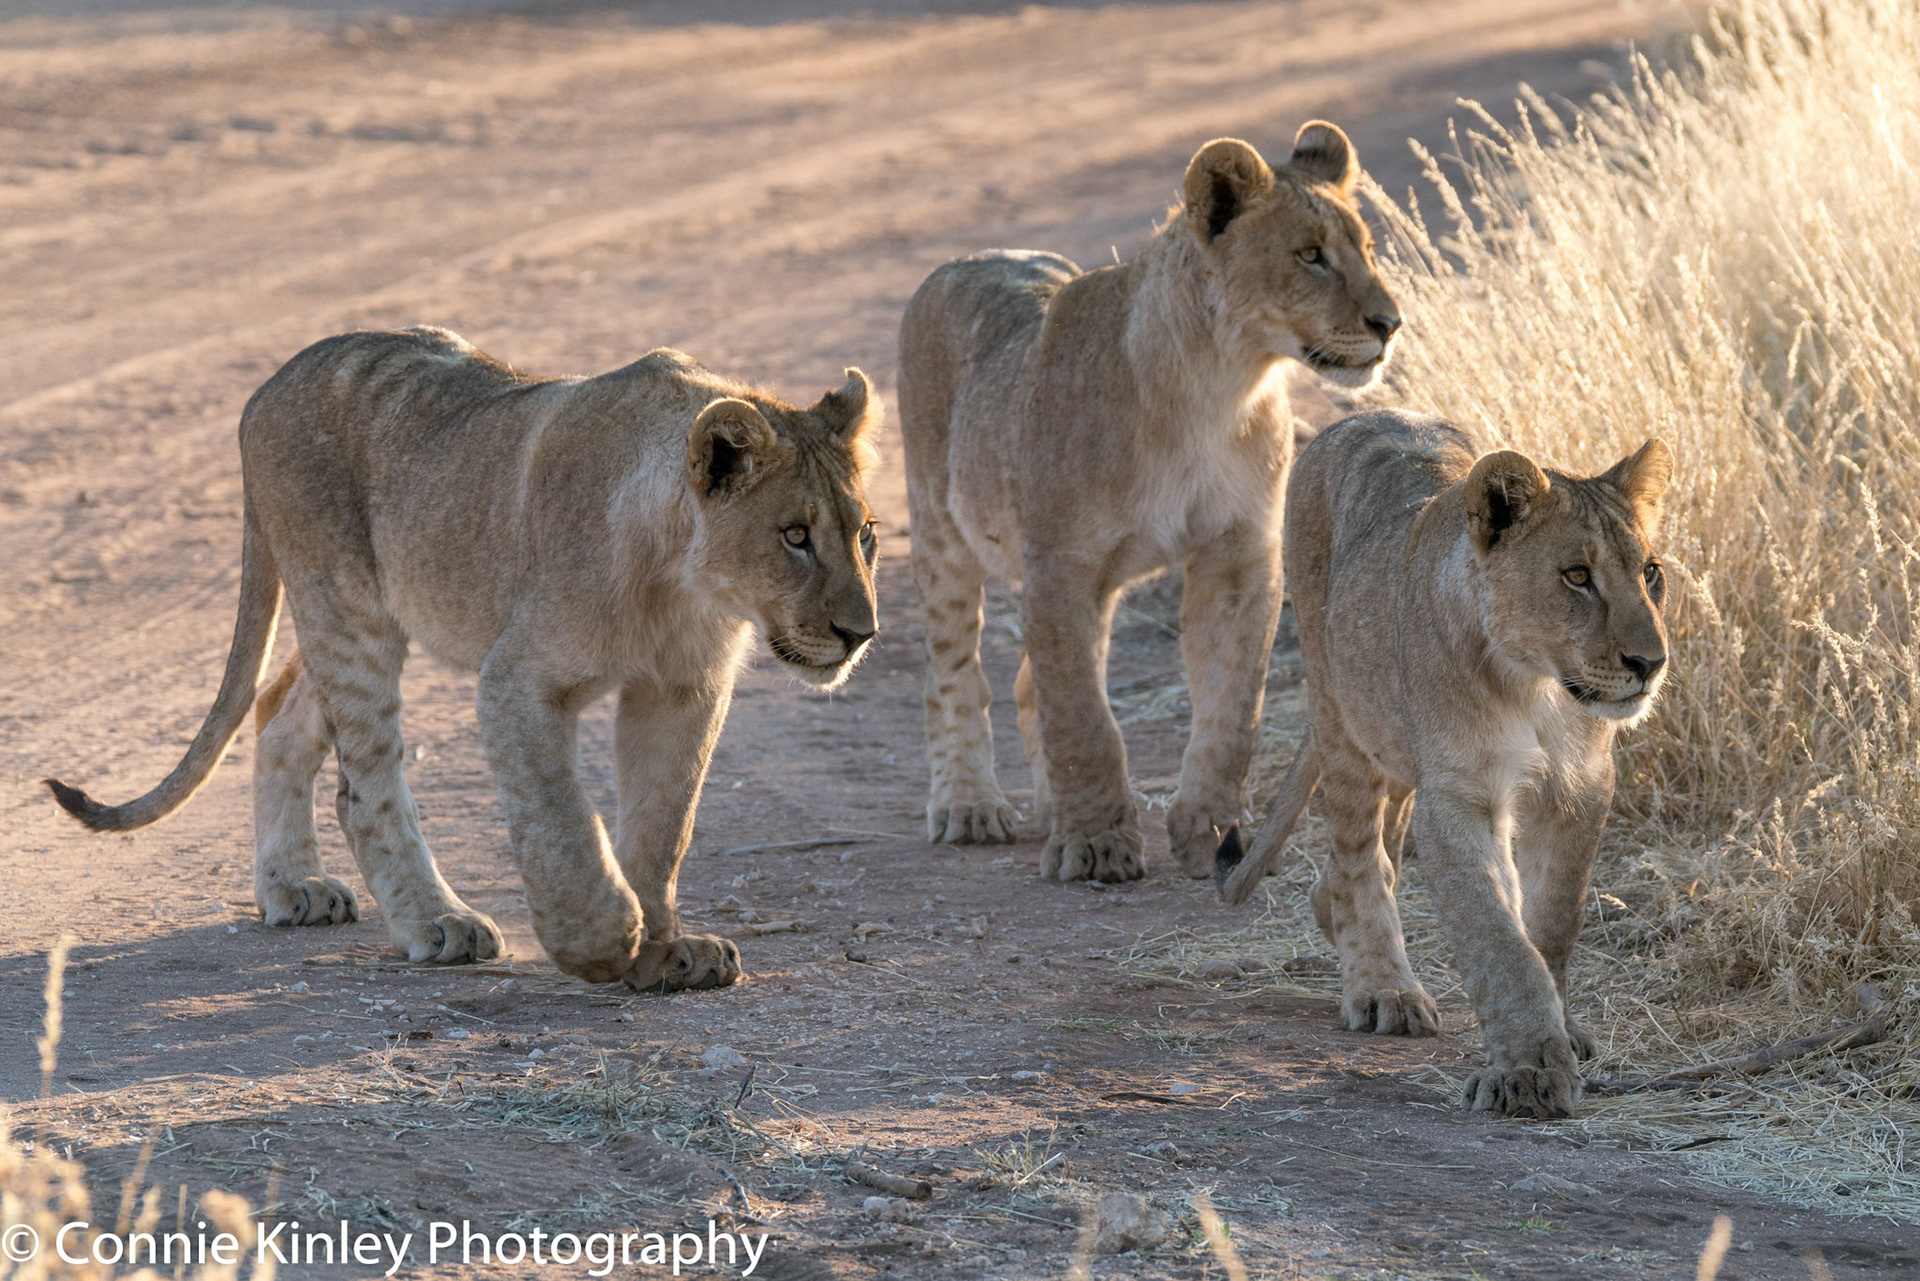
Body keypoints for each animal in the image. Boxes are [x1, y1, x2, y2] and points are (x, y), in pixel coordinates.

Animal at [47, 327, 881, 992]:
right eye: (795, 535)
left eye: (865, 534)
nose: (860, 633)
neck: (682, 583)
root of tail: (268, 385)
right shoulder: (516, 679)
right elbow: (559, 819)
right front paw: (603, 940)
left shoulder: (684, 688)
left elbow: (662, 823)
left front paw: (667, 949)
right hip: (347, 607)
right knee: (364, 789)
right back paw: (437, 923)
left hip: (356, 612)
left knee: (279, 712)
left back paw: (296, 886)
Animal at [899, 123, 1401, 882]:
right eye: (1310, 256)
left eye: (1367, 249)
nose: (1390, 323)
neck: (1218, 383)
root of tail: (966, 260)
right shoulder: (1061, 565)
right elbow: (1083, 717)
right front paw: (1096, 844)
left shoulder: (1239, 551)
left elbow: (1231, 707)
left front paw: (1211, 831)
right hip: (941, 534)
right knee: (954, 675)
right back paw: (969, 805)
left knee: (1029, 684)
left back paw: (1046, 805)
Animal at [1214, 409, 1673, 1118]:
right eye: (1576, 576)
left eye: (1650, 572)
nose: (1650, 663)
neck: (1537, 688)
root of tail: (1359, 416)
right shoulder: (1459, 797)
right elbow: (1496, 937)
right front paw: (1527, 1071)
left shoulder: (1580, 788)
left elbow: (1551, 922)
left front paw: (1561, 1032)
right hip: (1338, 710)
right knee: (1362, 856)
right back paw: (1384, 989)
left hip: (1397, 744)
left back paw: (1328, 911)